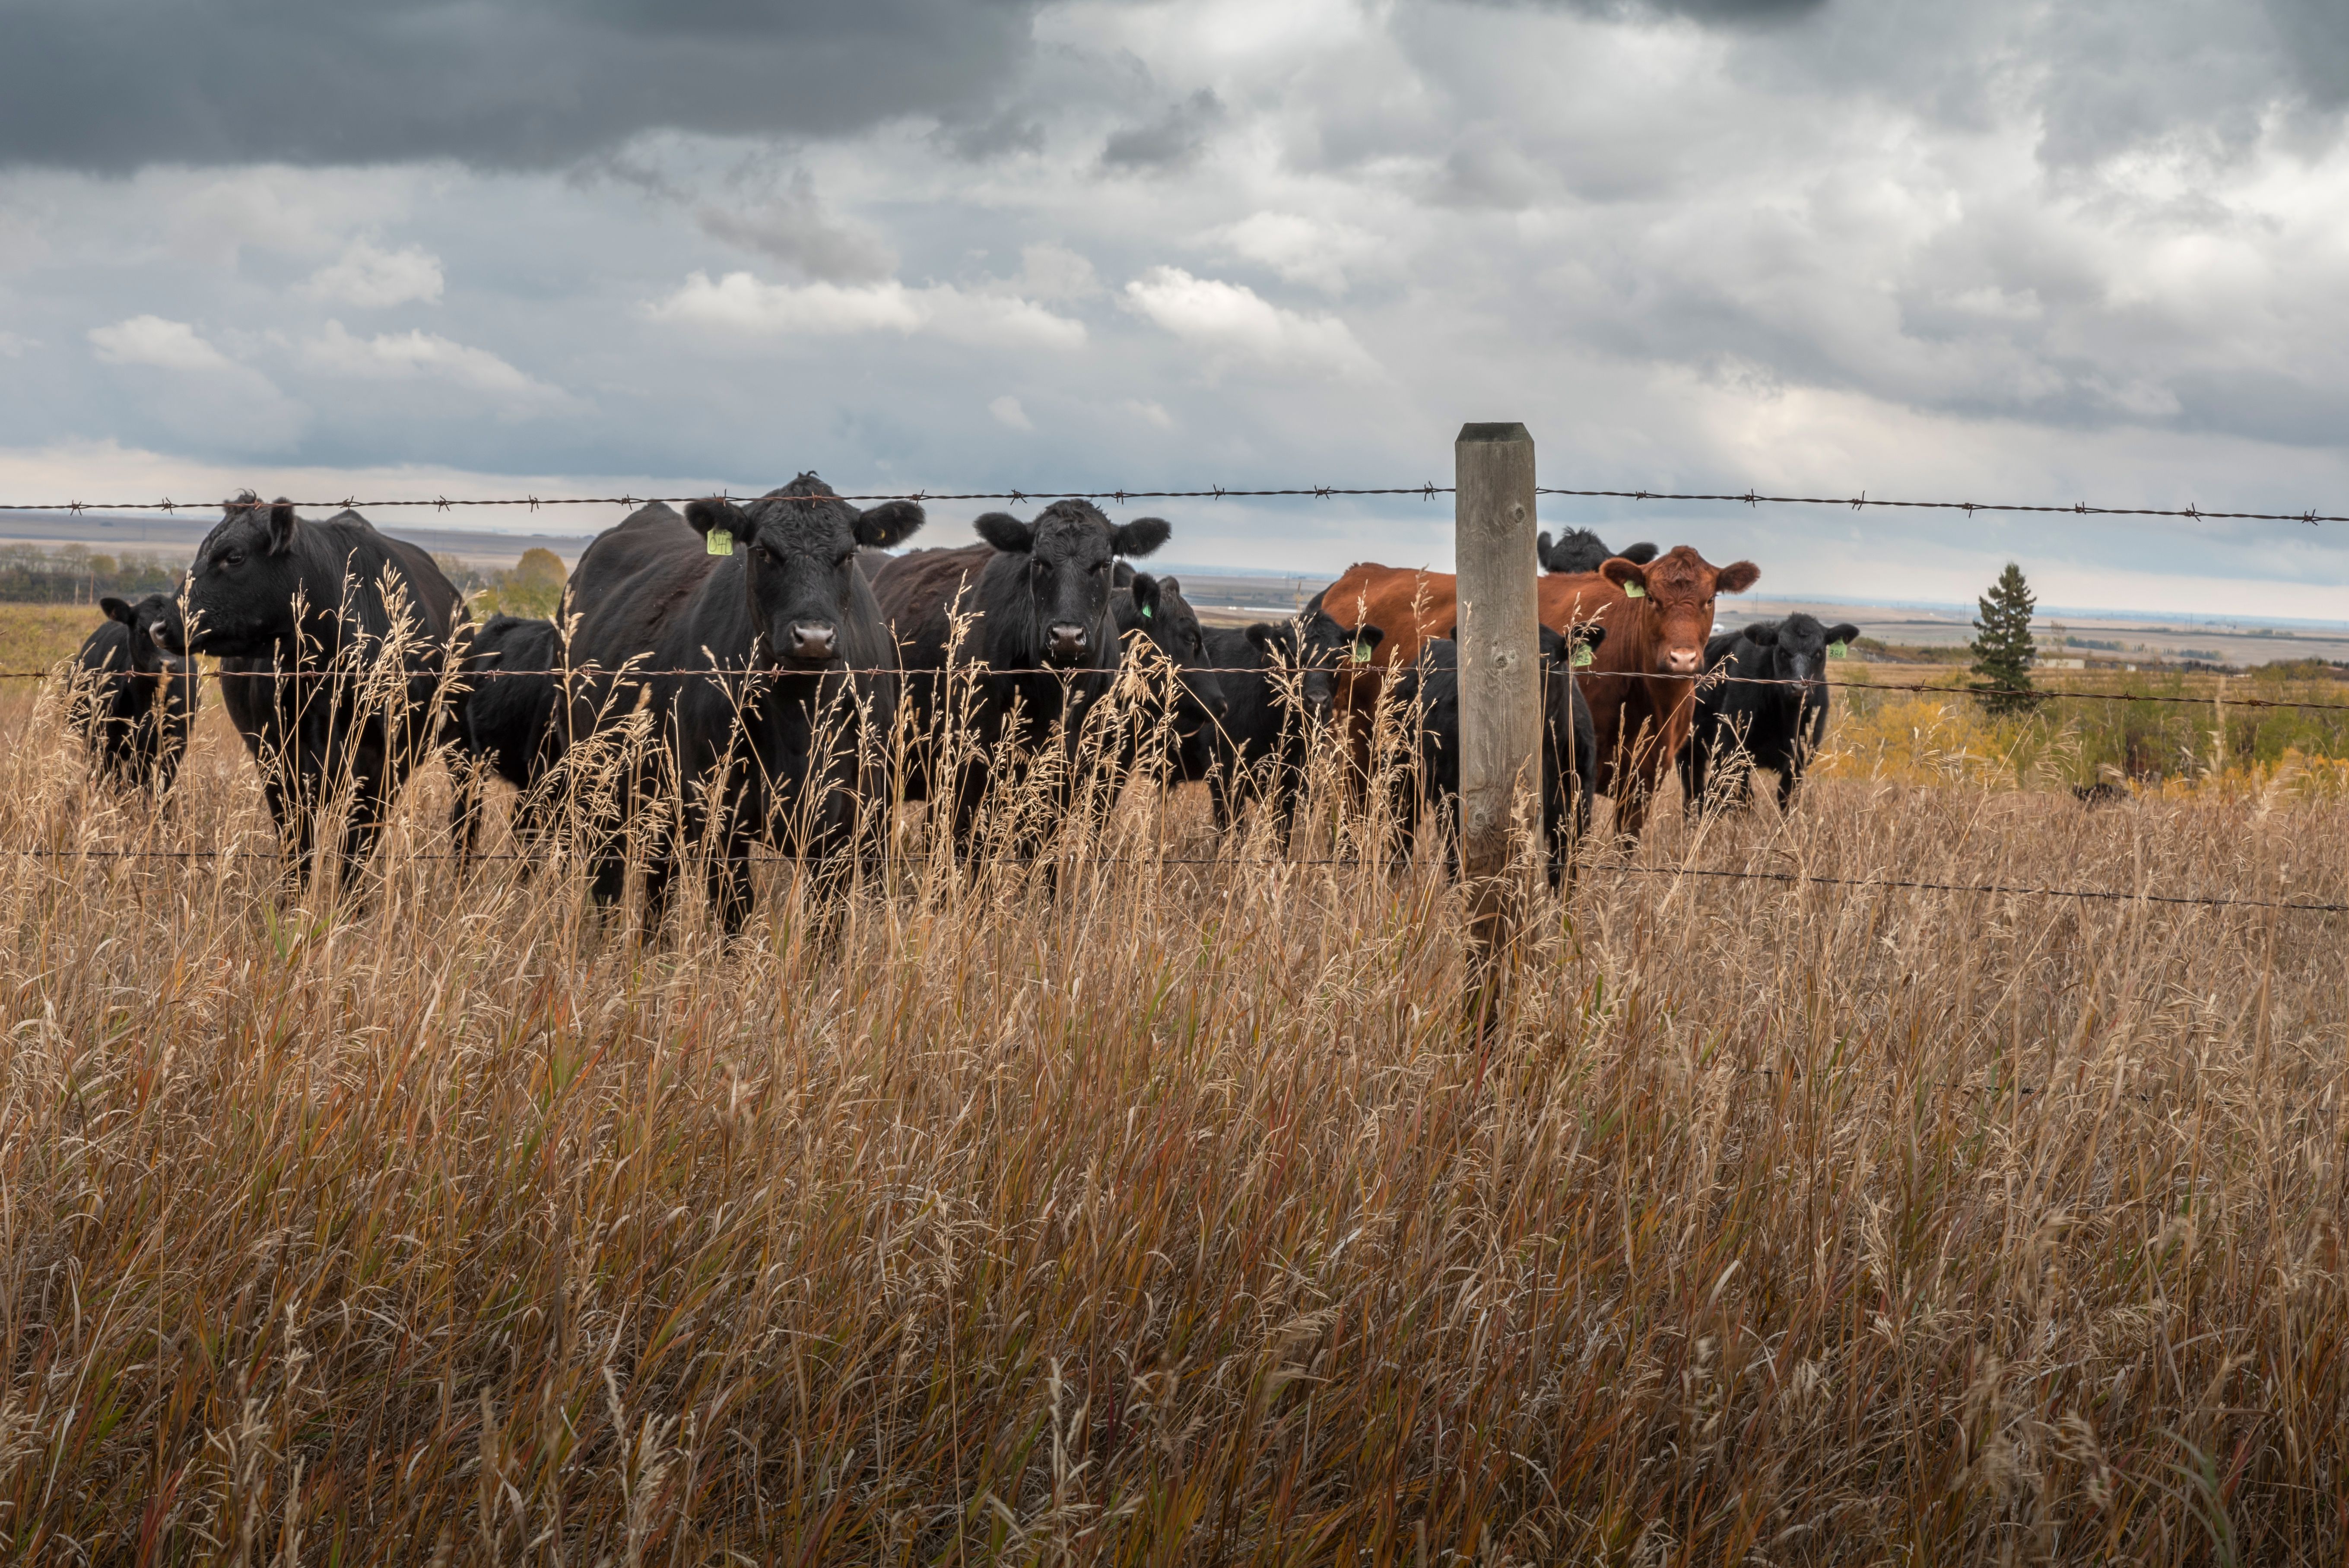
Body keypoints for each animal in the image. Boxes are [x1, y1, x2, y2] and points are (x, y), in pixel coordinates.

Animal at [155, 494, 463, 889]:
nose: (161, 627)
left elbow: (354, 858)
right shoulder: (279, 763)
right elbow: (297, 852)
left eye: (234, 556)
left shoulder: (381, 770)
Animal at [559, 476, 925, 932]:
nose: (814, 637)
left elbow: (827, 922)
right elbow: (735, 912)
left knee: (658, 879)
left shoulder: (848, 823)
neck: (797, 720)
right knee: (609, 875)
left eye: (848, 555)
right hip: (595, 780)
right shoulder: (719, 816)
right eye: (764, 551)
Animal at [870, 500, 1169, 854]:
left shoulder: (1069, 778)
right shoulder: (972, 769)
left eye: (1104, 563)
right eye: (1038, 561)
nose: (1067, 637)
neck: (1055, 696)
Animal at [1679, 612, 1858, 816]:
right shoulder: (1733, 749)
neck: (1788, 721)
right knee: (1693, 787)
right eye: (1782, 651)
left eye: (1820, 652)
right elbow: (1745, 800)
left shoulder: (1802, 758)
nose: (1799, 687)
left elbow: (1788, 798)